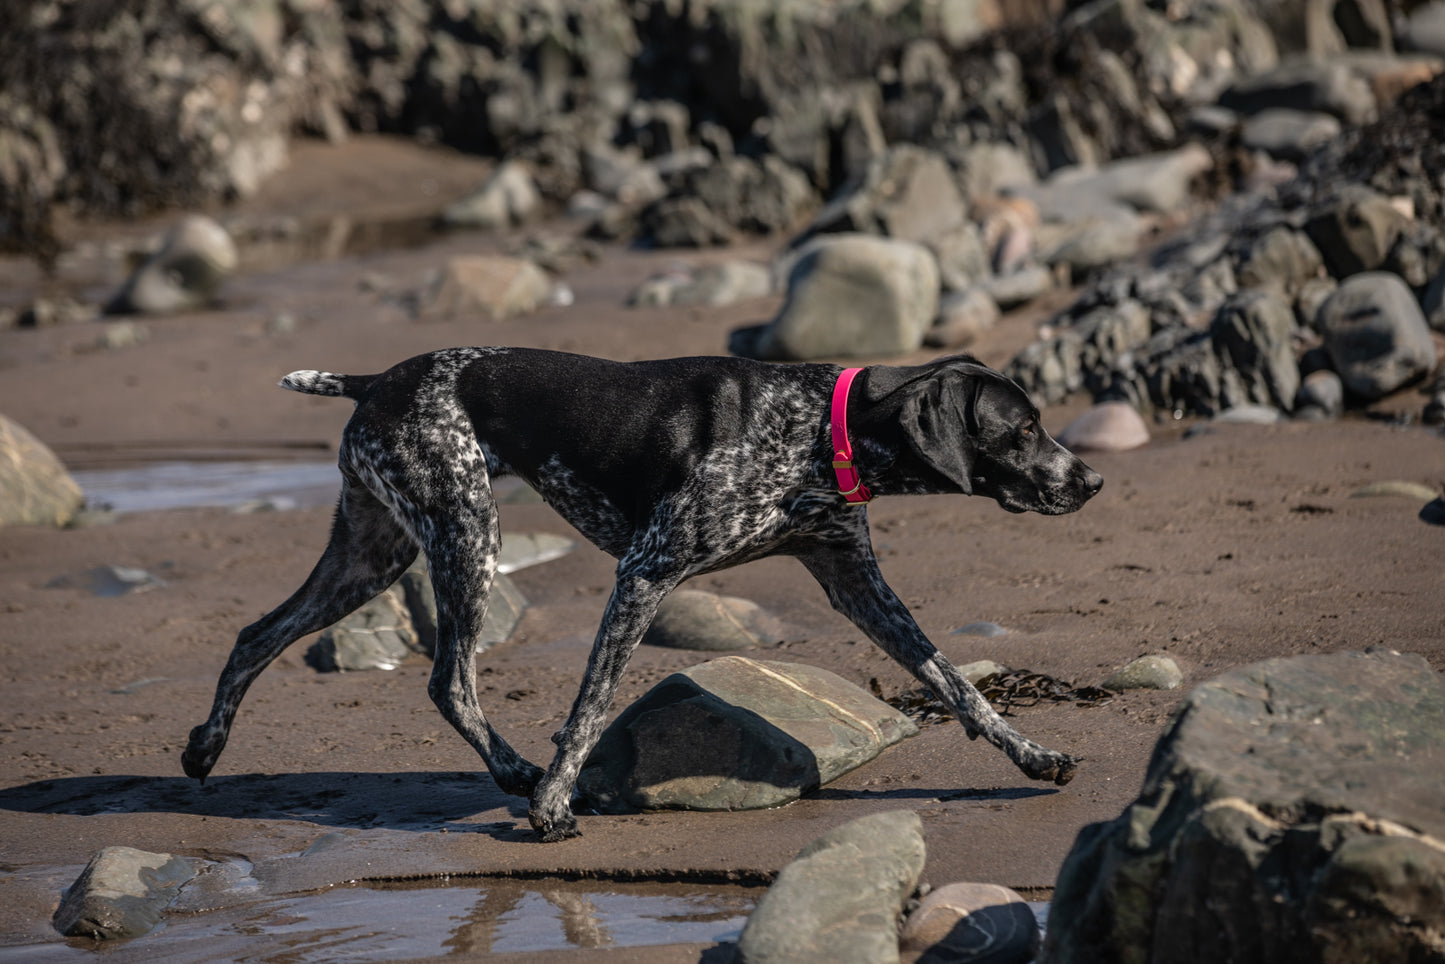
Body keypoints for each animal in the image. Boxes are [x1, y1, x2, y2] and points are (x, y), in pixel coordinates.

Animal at [186, 346, 1098, 838]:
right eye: (1021, 429)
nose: (1091, 481)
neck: (819, 429)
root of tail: (377, 377)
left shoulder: (856, 583)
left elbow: (953, 683)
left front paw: (1029, 754)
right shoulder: (646, 572)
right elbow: (590, 705)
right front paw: (552, 805)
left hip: (370, 554)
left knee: (255, 635)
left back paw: (205, 747)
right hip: (465, 536)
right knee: (449, 681)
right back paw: (516, 773)